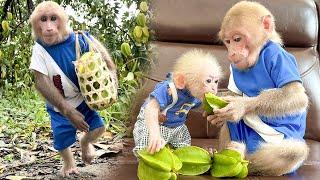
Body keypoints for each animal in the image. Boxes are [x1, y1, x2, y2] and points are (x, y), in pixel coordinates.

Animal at [28, 0, 116, 177]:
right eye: (43, 19)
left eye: (53, 18)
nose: (48, 27)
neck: (57, 43)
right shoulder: (37, 51)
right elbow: (42, 81)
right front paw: (72, 114)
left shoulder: (86, 38)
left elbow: (105, 59)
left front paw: (113, 83)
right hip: (60, 116)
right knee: (62, 136)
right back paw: (69, 165)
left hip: (87, 109)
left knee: (97, 128)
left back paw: (85, 145)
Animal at [208, 0, 310, 176]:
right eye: (228, 42)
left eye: (237, 39)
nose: (232, 53)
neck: (256, 58)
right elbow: (232, 94)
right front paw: (215, 116)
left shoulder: (278, 57)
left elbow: (295, 95)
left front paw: (240, 106)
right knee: (230, 124)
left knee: (294, 151)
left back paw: (244, 157)